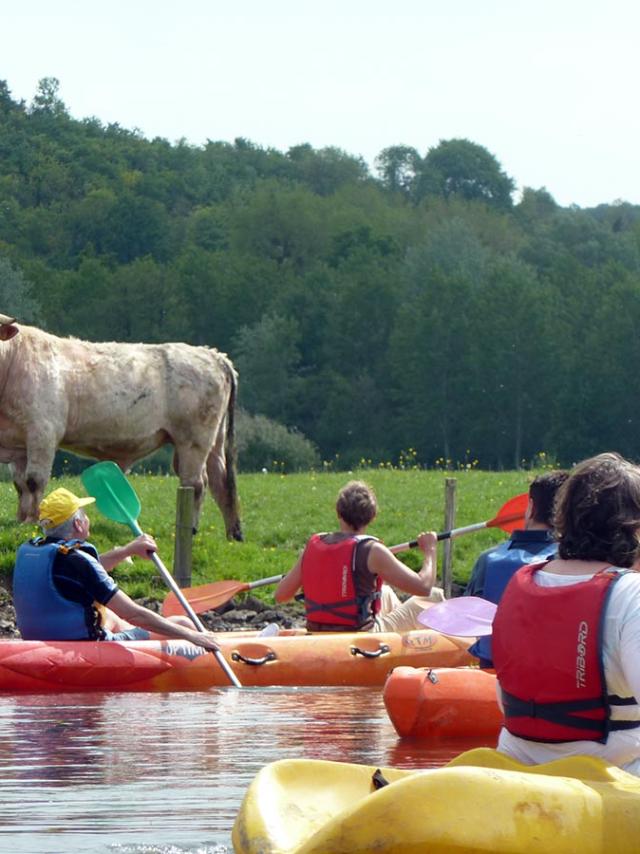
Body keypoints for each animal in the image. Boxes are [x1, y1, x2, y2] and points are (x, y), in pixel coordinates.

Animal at [0, 318, 242, 540]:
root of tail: (214, 355)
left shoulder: (43, 432)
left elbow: (34, 481)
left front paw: (34, 521)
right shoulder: (18, 442)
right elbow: (20, 484)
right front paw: (21, 520)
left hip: (194, 440)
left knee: (196, 483)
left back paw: (191, 530)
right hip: (214, 441)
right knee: (220, 481)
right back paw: (232, 535)